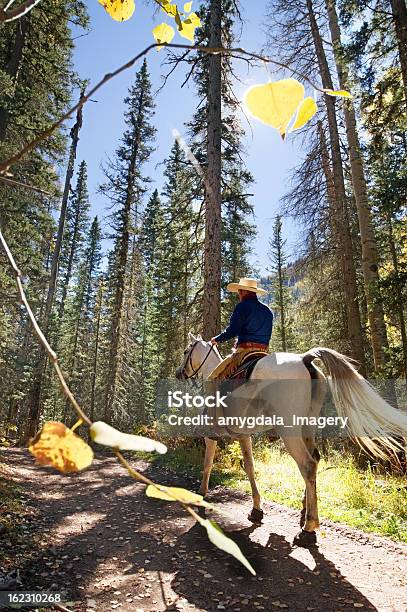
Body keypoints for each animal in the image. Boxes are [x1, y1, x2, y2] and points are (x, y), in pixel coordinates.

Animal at [178, 334, 407, 544]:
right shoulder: (244, 436)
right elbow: (250, 468)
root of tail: (305, 359)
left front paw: (201, 494)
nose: (179, 373)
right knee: (314, 461)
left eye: (186, 351)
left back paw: (308, 528)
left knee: (307, 464)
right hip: (308, 425)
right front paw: (256, 509)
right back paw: (304, 511)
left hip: (290, 430)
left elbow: (208, 464)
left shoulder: (211, 437)